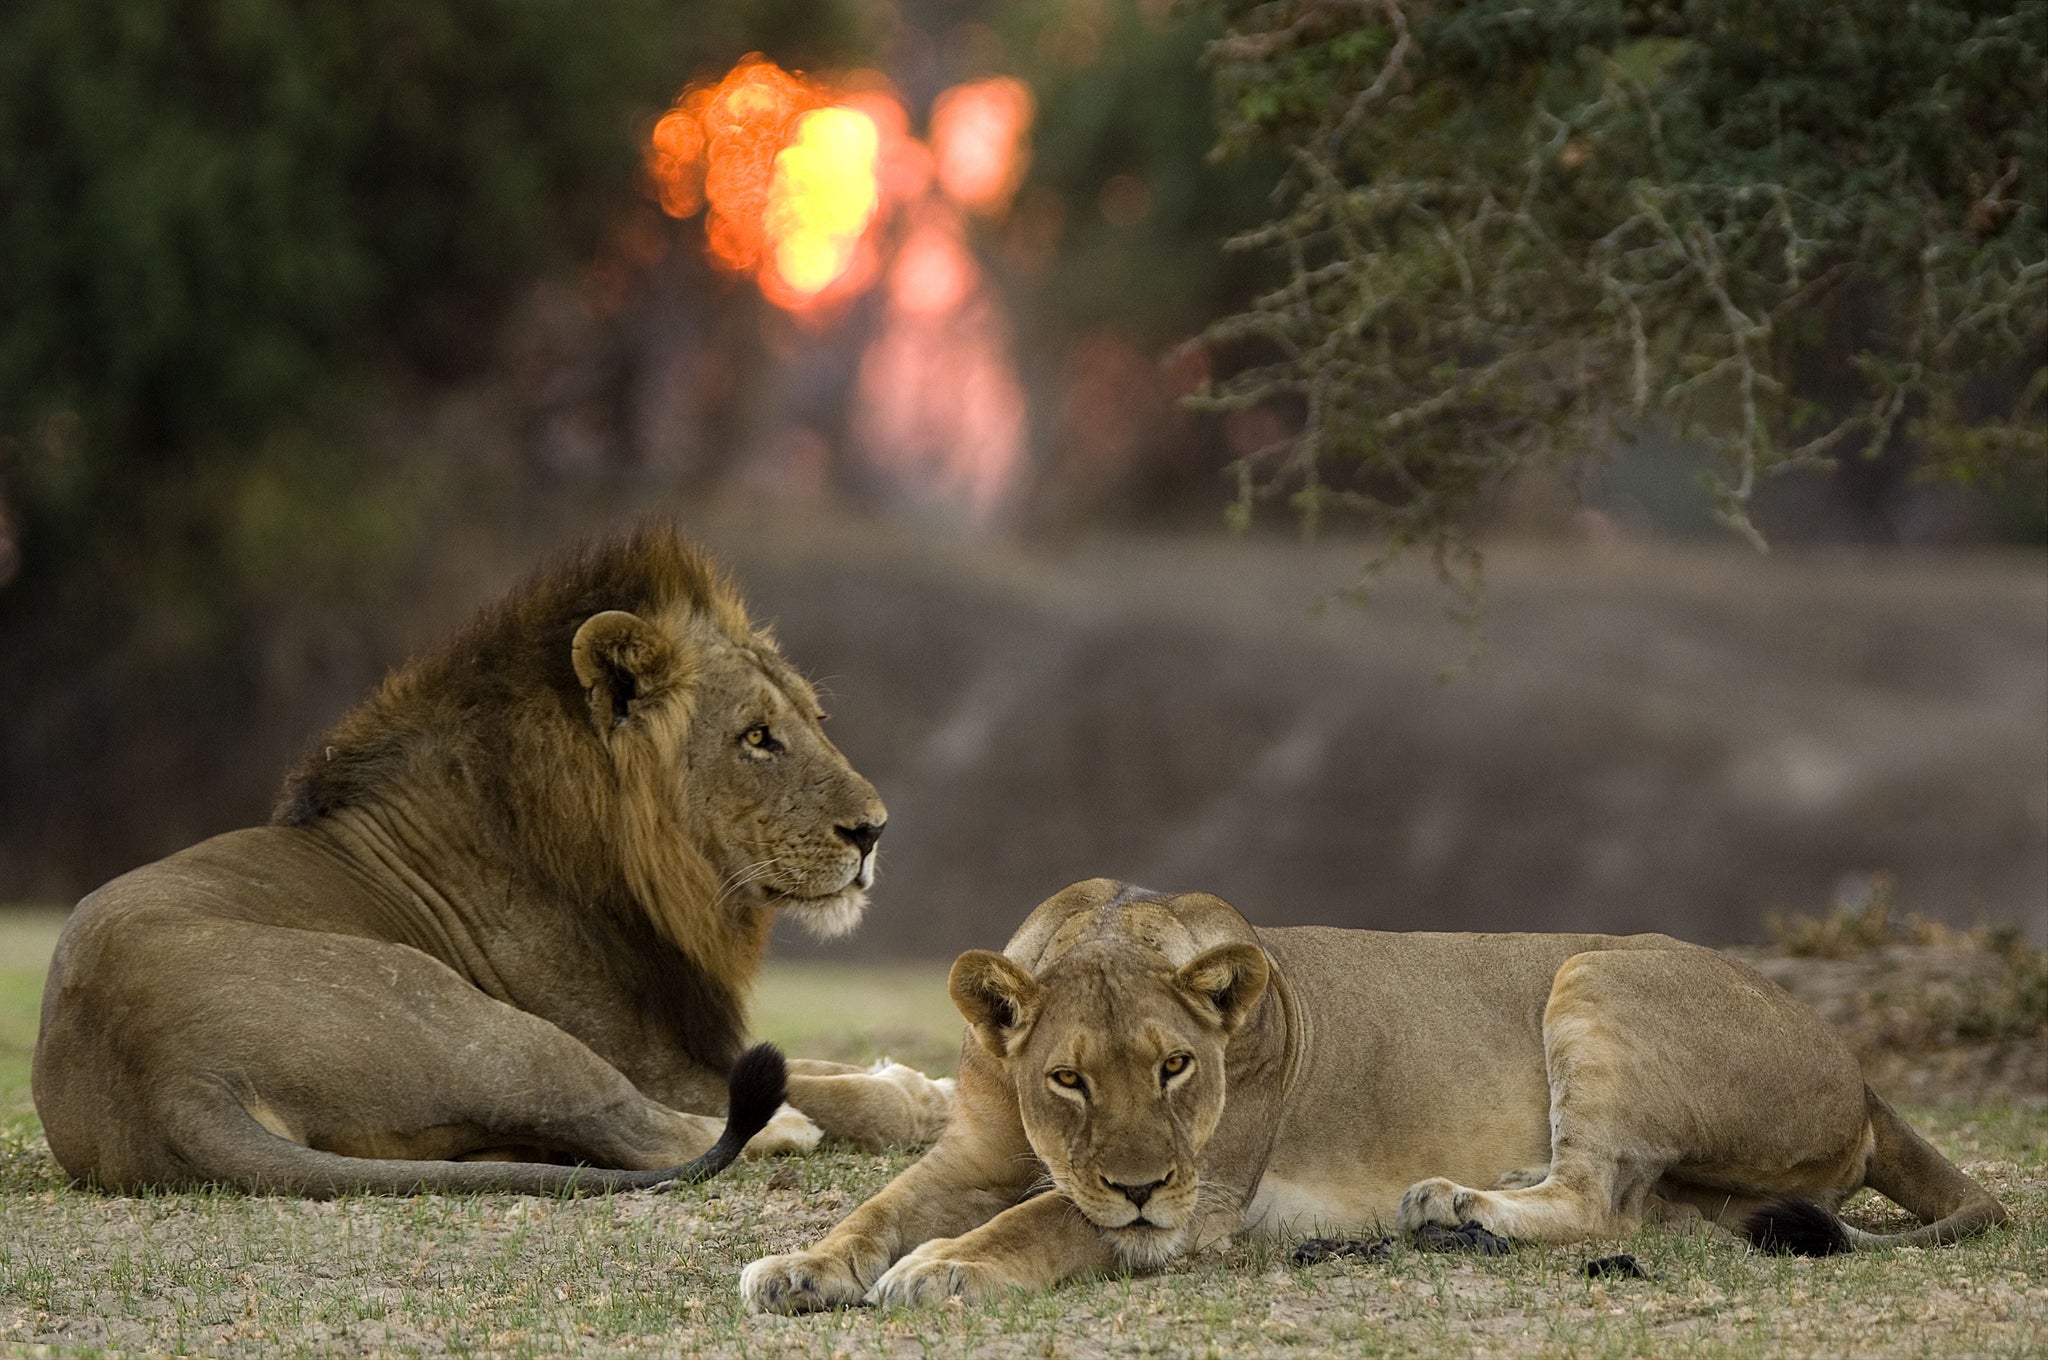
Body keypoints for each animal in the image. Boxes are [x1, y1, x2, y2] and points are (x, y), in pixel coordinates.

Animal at [34, 524, 950, 1196]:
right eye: (757, 737)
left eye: (814, 719)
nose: (874, 830)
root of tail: (170, 1080)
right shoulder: (657, 1061)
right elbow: (825, 1088)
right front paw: (915, 1101)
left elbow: (824, 1063)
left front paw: (925, 1082)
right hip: (474, 1019)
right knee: (646, 1129)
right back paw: (787, 1131)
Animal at [745, 876, 2007, 1310]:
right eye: (1065, 1078)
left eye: (1174, 1066)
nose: (1142, 1182)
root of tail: (1861, 1068)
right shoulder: (973, 1152)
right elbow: (878, 1207)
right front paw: (799, 1267)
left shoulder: (1189, 1213)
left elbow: (1043, 1219)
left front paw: (941, 1270)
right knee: (1637, 1208)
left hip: (1589, 972)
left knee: (1595, 1200)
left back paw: (1452, 1206)